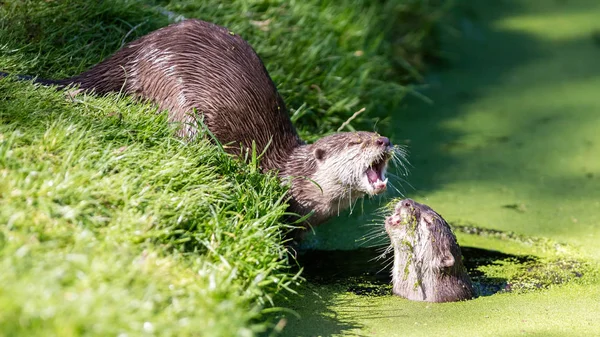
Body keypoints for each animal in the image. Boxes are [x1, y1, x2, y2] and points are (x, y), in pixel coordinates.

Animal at [0, 19, 406, 228]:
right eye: (356, 142)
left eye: (375, 133)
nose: (385, 141)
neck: (289, 178)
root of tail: (136, 49)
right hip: (173, 91)